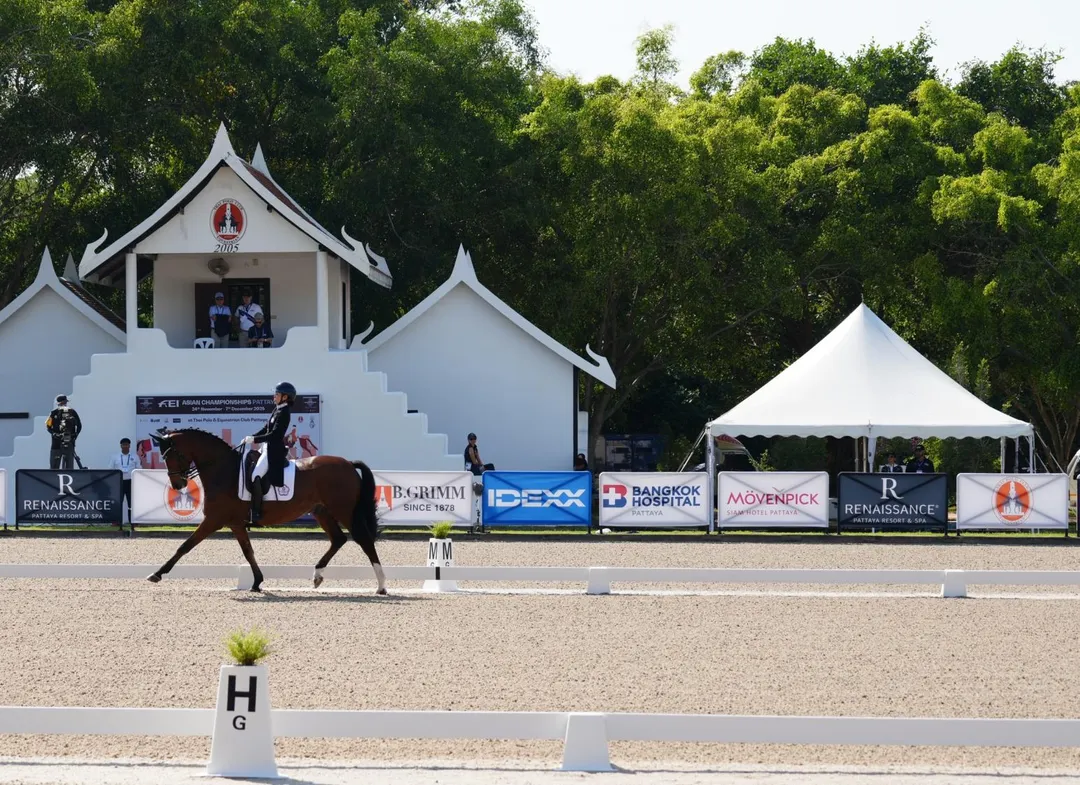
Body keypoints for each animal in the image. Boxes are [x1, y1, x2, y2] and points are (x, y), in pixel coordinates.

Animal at [145, 428, 386, 594]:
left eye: (171, 455)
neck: (223, 470)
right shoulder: (235, 523)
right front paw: (257, 582)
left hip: (343, 510)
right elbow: (248, 551)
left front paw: (157, 574)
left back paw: (381, 585)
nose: (177, 485)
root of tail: (348, 463)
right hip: (322, 511)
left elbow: (185, 545)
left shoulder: (213, 520)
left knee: (363, 539)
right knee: (338, 539)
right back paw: (317, 576)